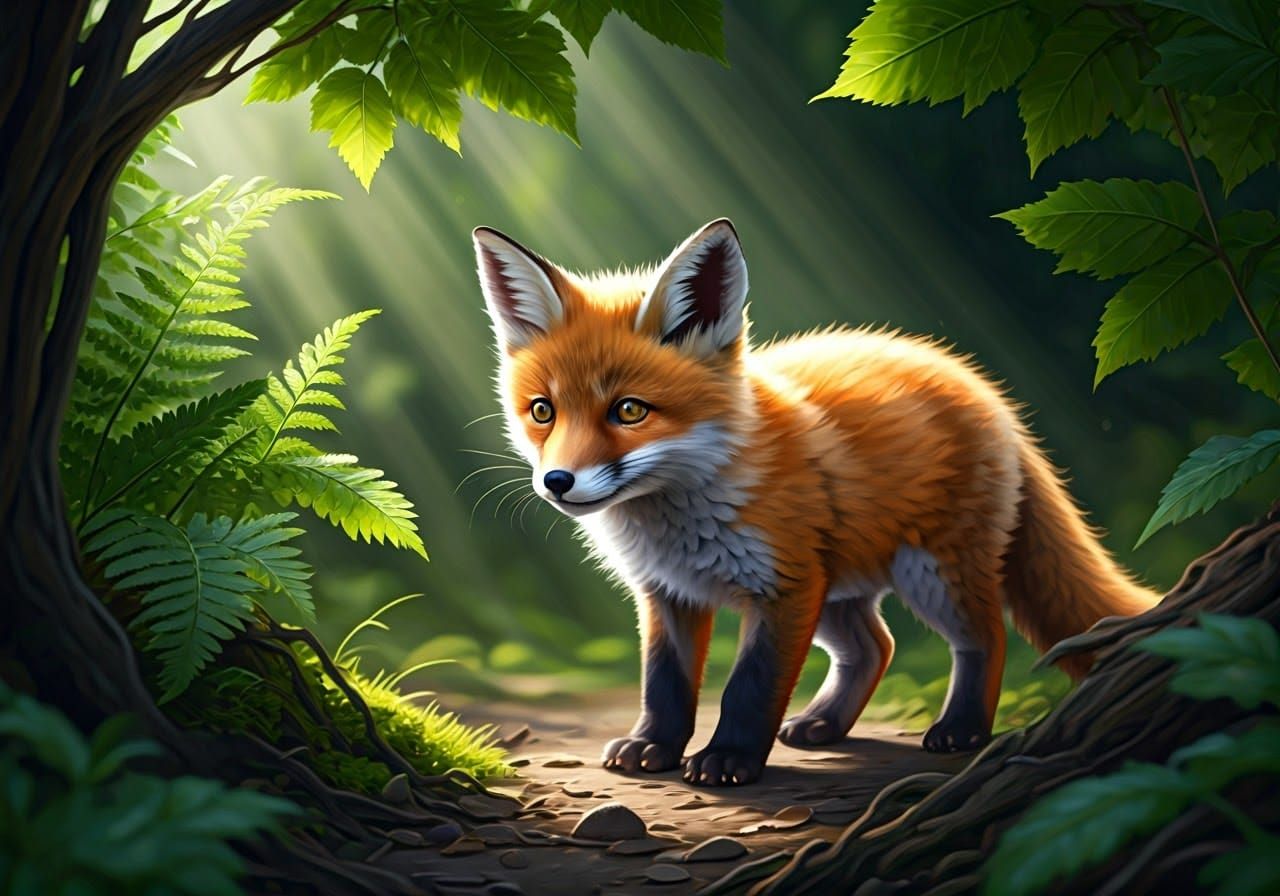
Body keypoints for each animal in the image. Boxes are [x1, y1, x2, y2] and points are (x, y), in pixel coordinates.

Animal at [472, 218, 1158, 787]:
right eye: (543, 411)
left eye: (629, 411)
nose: (557, 481)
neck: (679, 517)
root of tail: (983, 389)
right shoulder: (670, 594)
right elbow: (663, 685)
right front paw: (655, 747)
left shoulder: (784, 587)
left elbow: (749, 686)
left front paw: (728, 759)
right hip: (838, 590)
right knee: (875, 647)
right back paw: (824, 724)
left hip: (929, 575)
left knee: (985, 637)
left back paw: (961, 730)